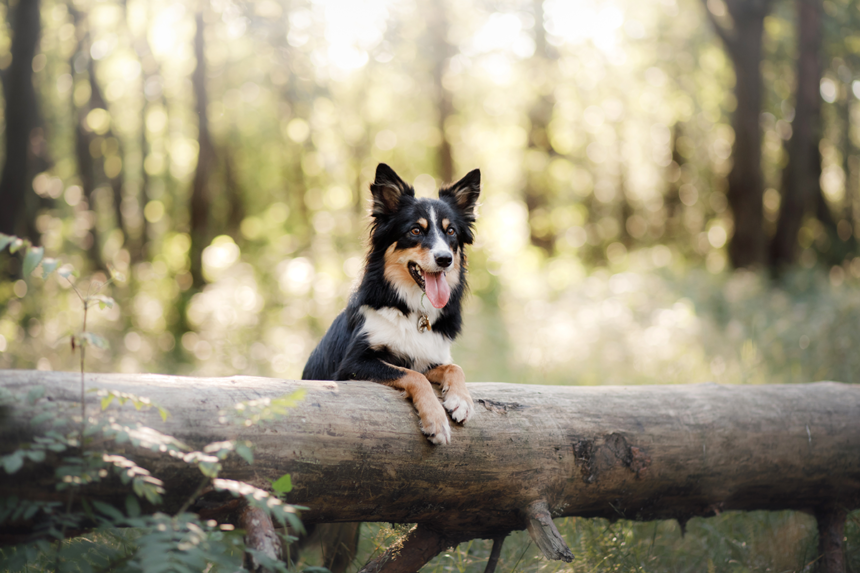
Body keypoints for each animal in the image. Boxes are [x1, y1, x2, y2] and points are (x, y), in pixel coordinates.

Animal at [300, 161, 480, 442]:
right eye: (415, 230)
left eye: (451, 231)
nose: (445, 259)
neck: (412, 310)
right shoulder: (353, 364)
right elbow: (414, 376)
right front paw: (436, 421)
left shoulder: (428, 355)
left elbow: (453, 367)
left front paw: (461, 400)